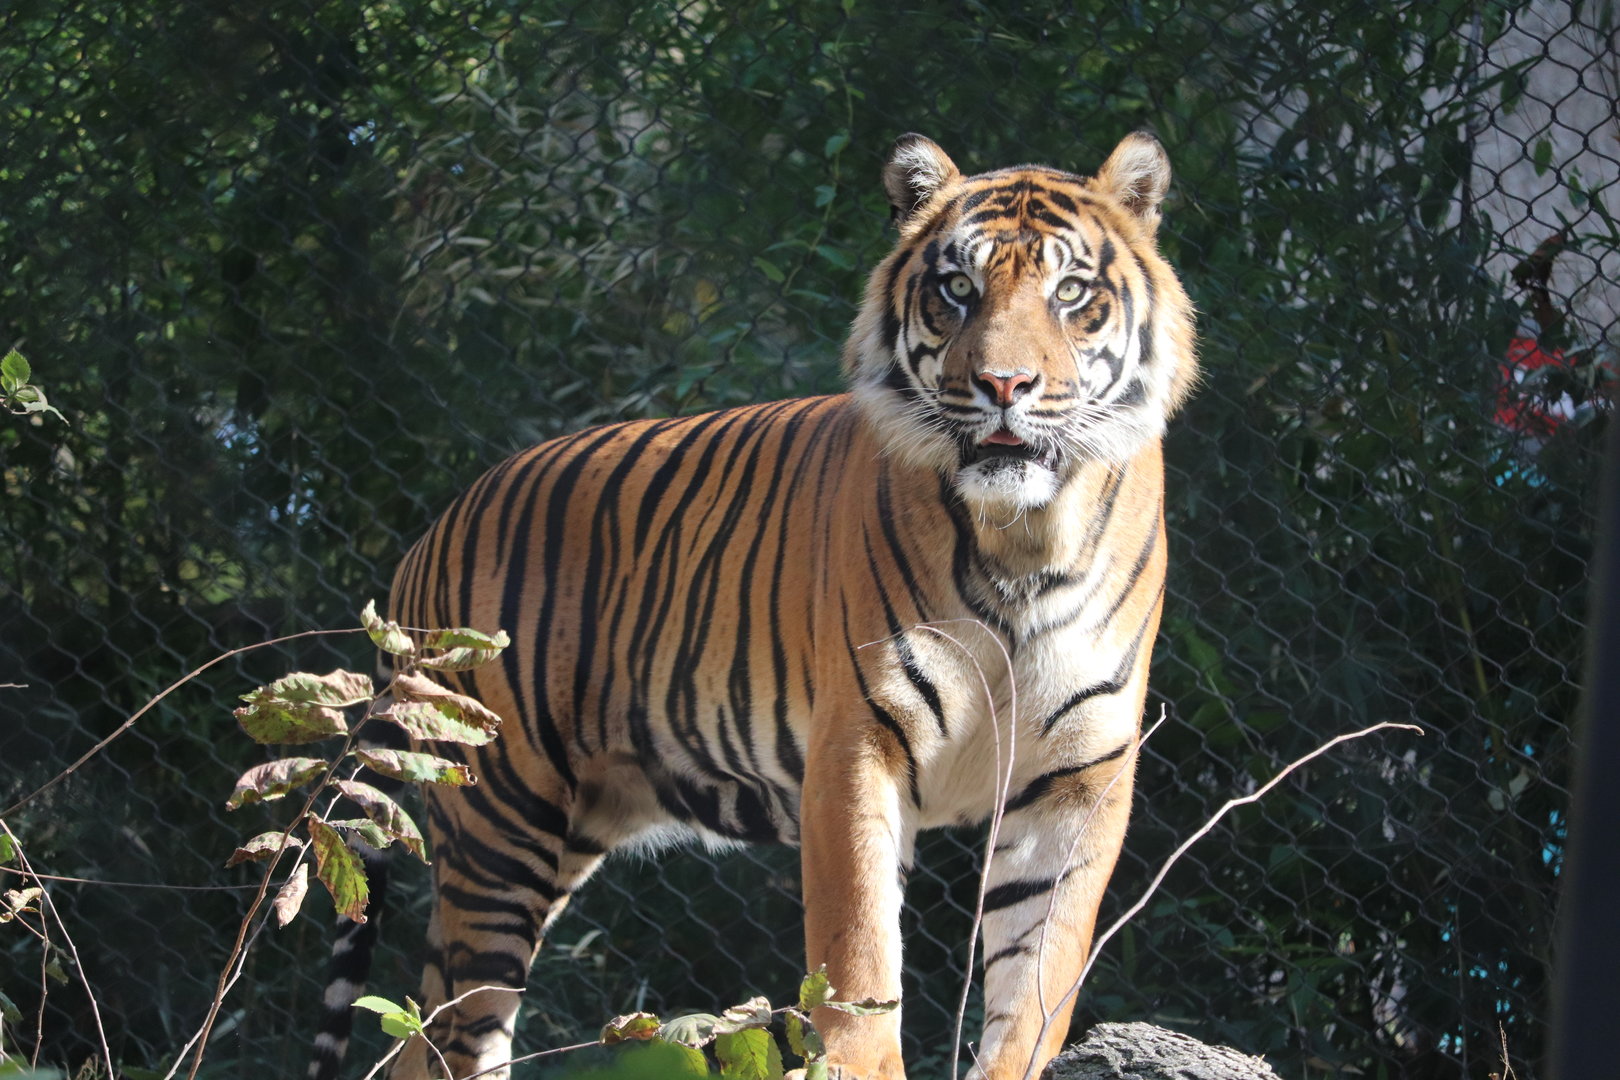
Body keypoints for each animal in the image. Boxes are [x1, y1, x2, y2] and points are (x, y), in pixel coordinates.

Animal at [345, 131, 1196, 1080]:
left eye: (1071, 292)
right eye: (957, 289)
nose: (1003, 384)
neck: (1024, 538)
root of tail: (431, 533)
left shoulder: (1079, 781)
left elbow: (1036, 988)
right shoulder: (858, 743)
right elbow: (860, 964)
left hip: (564, 828)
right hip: (499, 823)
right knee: (452, 1031)